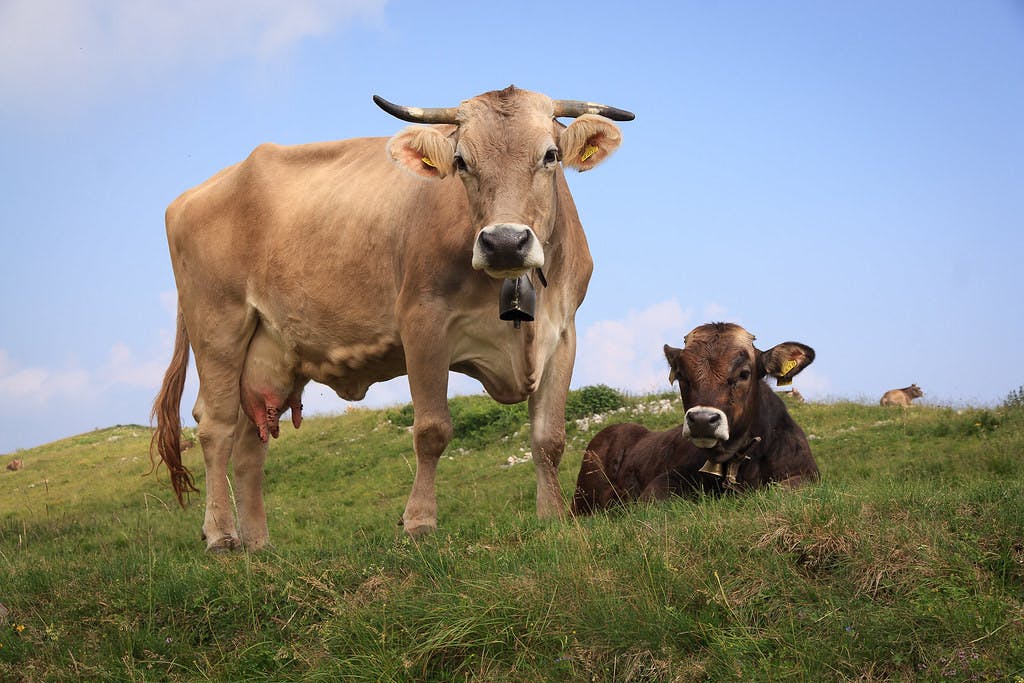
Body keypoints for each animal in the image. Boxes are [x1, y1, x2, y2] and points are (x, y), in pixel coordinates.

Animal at [151, 86, 634, 551]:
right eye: (461, 161)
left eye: (550, 155)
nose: (504, 243)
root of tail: (197, 191)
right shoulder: (423, 323)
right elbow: (432, 430)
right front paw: (419, 522)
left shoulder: (563, 333)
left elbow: (549, 438)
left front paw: (553, 517)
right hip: (217, 326)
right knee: (215, 427)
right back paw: (221, 535)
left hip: (270, 354)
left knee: (252, 443)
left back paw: (258, 544)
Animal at [572, 323, 818, 514]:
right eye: (681, 375)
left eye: (744, 373)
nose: (701, 420)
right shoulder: (663, 482)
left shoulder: (807, 475)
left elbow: (785, 489)